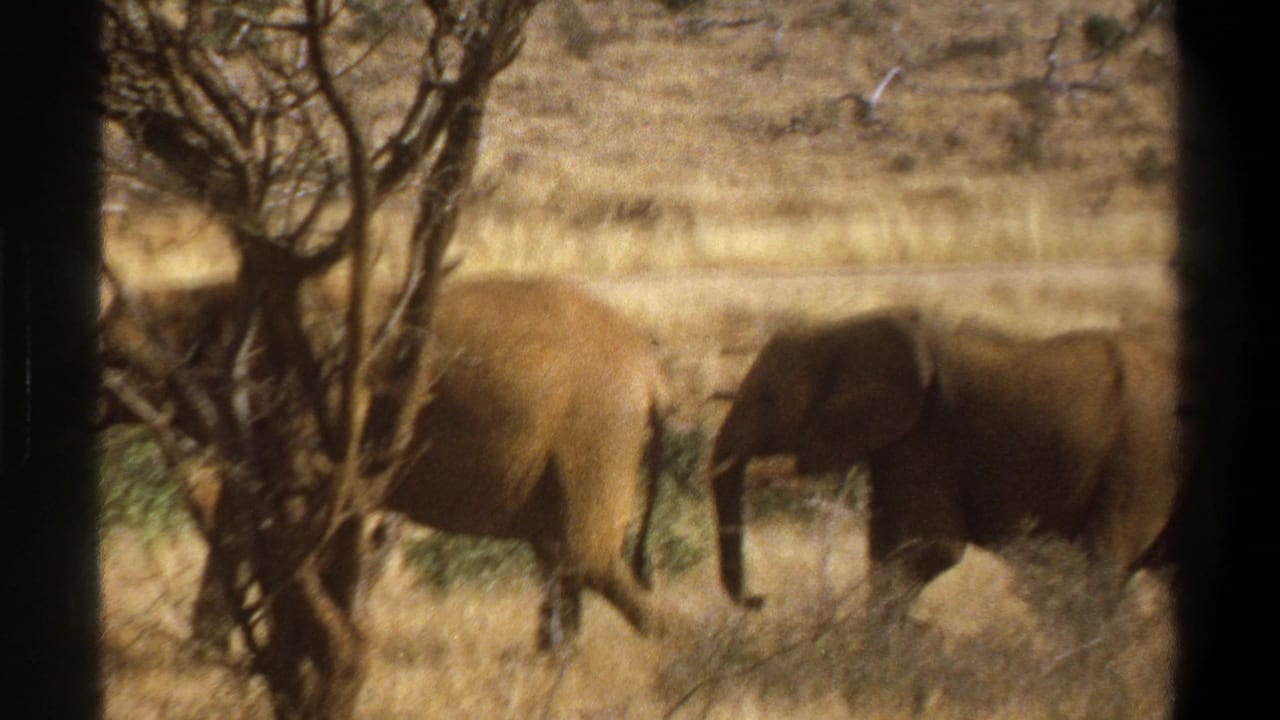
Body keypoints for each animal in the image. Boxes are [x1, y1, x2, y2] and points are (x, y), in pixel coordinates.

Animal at [98, 275, 674, 650]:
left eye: (115, 359)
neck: (202, 296)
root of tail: (651, 370)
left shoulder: (313, 400)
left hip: (596, 430)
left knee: (586, 557)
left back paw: (677, 651)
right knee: (561, 555)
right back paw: (556, 661)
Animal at [710, 306, 1177, 610]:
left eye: (768, 401)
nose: (760, 599)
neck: (842, 329)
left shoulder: (928, 434)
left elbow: (929, 549)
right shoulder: (900, 443)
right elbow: (886, 547)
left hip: (1141, 459)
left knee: (1105, 564)